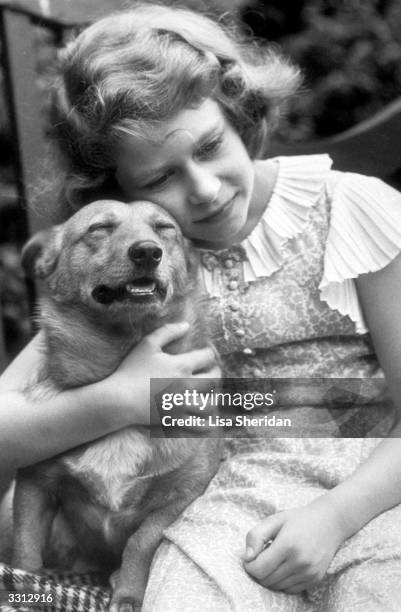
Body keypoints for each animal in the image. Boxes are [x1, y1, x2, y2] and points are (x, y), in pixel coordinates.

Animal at [13, 200, 219, 608]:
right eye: (100, 228)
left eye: (164, 228)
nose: (147, 252)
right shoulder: (33, 485)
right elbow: (25, 554)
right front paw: (22, 593)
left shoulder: (185, 494)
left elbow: (141, 541)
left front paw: (127, 593)